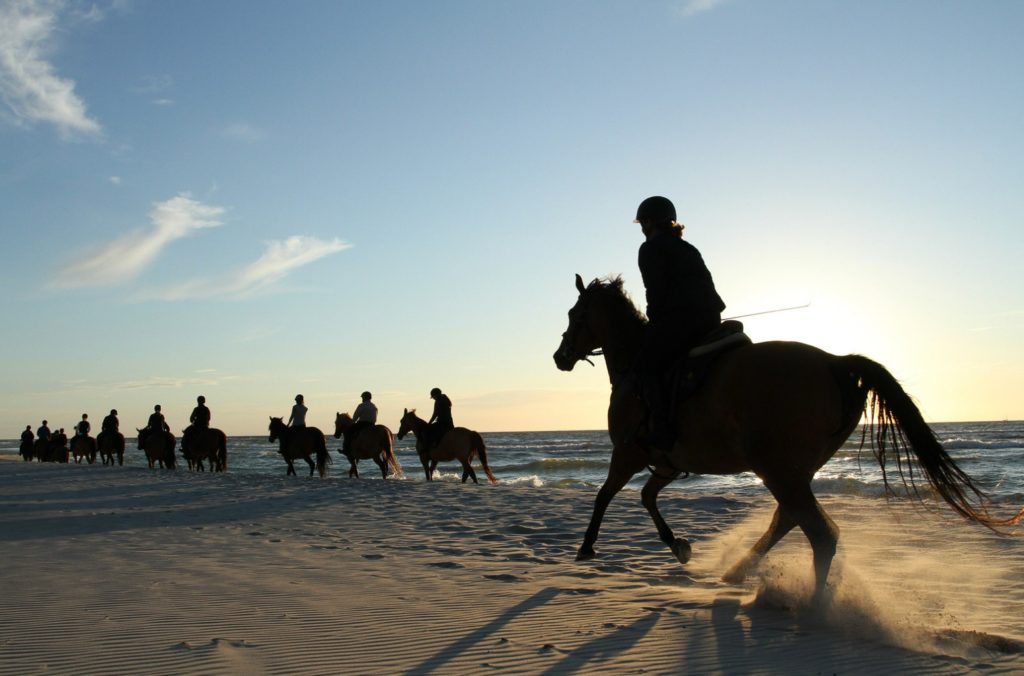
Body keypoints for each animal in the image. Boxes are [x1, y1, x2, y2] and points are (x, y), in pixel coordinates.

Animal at [557, 274, 1024, 598]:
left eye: (575, 316)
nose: (560, 356)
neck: (637, 366)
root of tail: (835, 362)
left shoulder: (629, 454)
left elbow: (606, 495)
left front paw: (587, 547)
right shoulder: (668, 463)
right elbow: (646, 497)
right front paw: (678, 546)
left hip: (777, 467)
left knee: (817, 532)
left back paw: (813, 607)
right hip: (793, 469)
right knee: (791, 519)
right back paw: (741, 572)